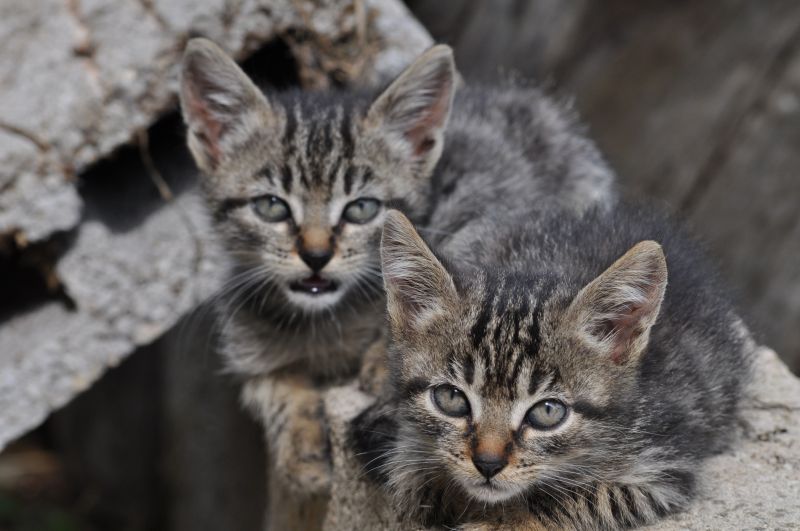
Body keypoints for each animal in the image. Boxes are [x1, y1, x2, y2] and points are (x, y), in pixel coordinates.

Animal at [354, 209, 752, 531]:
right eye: (451, 398)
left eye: (547, 412)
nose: (487, 463)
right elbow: (408, 470)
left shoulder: (664, 467)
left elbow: (585, 497)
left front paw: (504, 520)